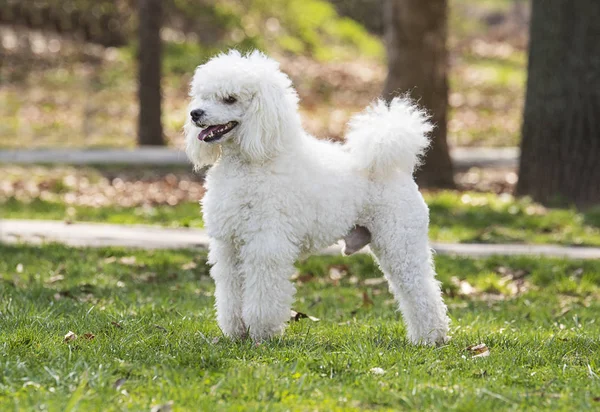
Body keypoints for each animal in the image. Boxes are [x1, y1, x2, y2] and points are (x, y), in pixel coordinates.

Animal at [185, 49, 448, 344]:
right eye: (202, 96)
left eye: (229, 98)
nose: (195, 113)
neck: (253, 161)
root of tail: (395, 167)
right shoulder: (229, 244)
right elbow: (231, 292)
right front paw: (237, 332)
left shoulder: (266, 245)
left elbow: (264, 293)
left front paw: (262, 334)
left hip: (400, 240)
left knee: (421, 289)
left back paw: (431, 337)